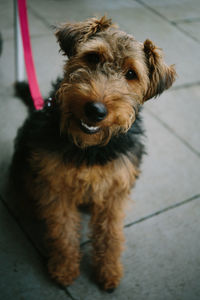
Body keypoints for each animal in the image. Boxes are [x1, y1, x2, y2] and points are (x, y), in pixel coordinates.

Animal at [11, 16, 177, 292]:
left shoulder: (114, 192)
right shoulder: (57, 187)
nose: (95, 110)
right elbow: (63, 231)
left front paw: (108, 272)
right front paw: (64, 269)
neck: (91, 148)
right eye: (92, 57)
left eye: (131, 74)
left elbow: (110, 234)